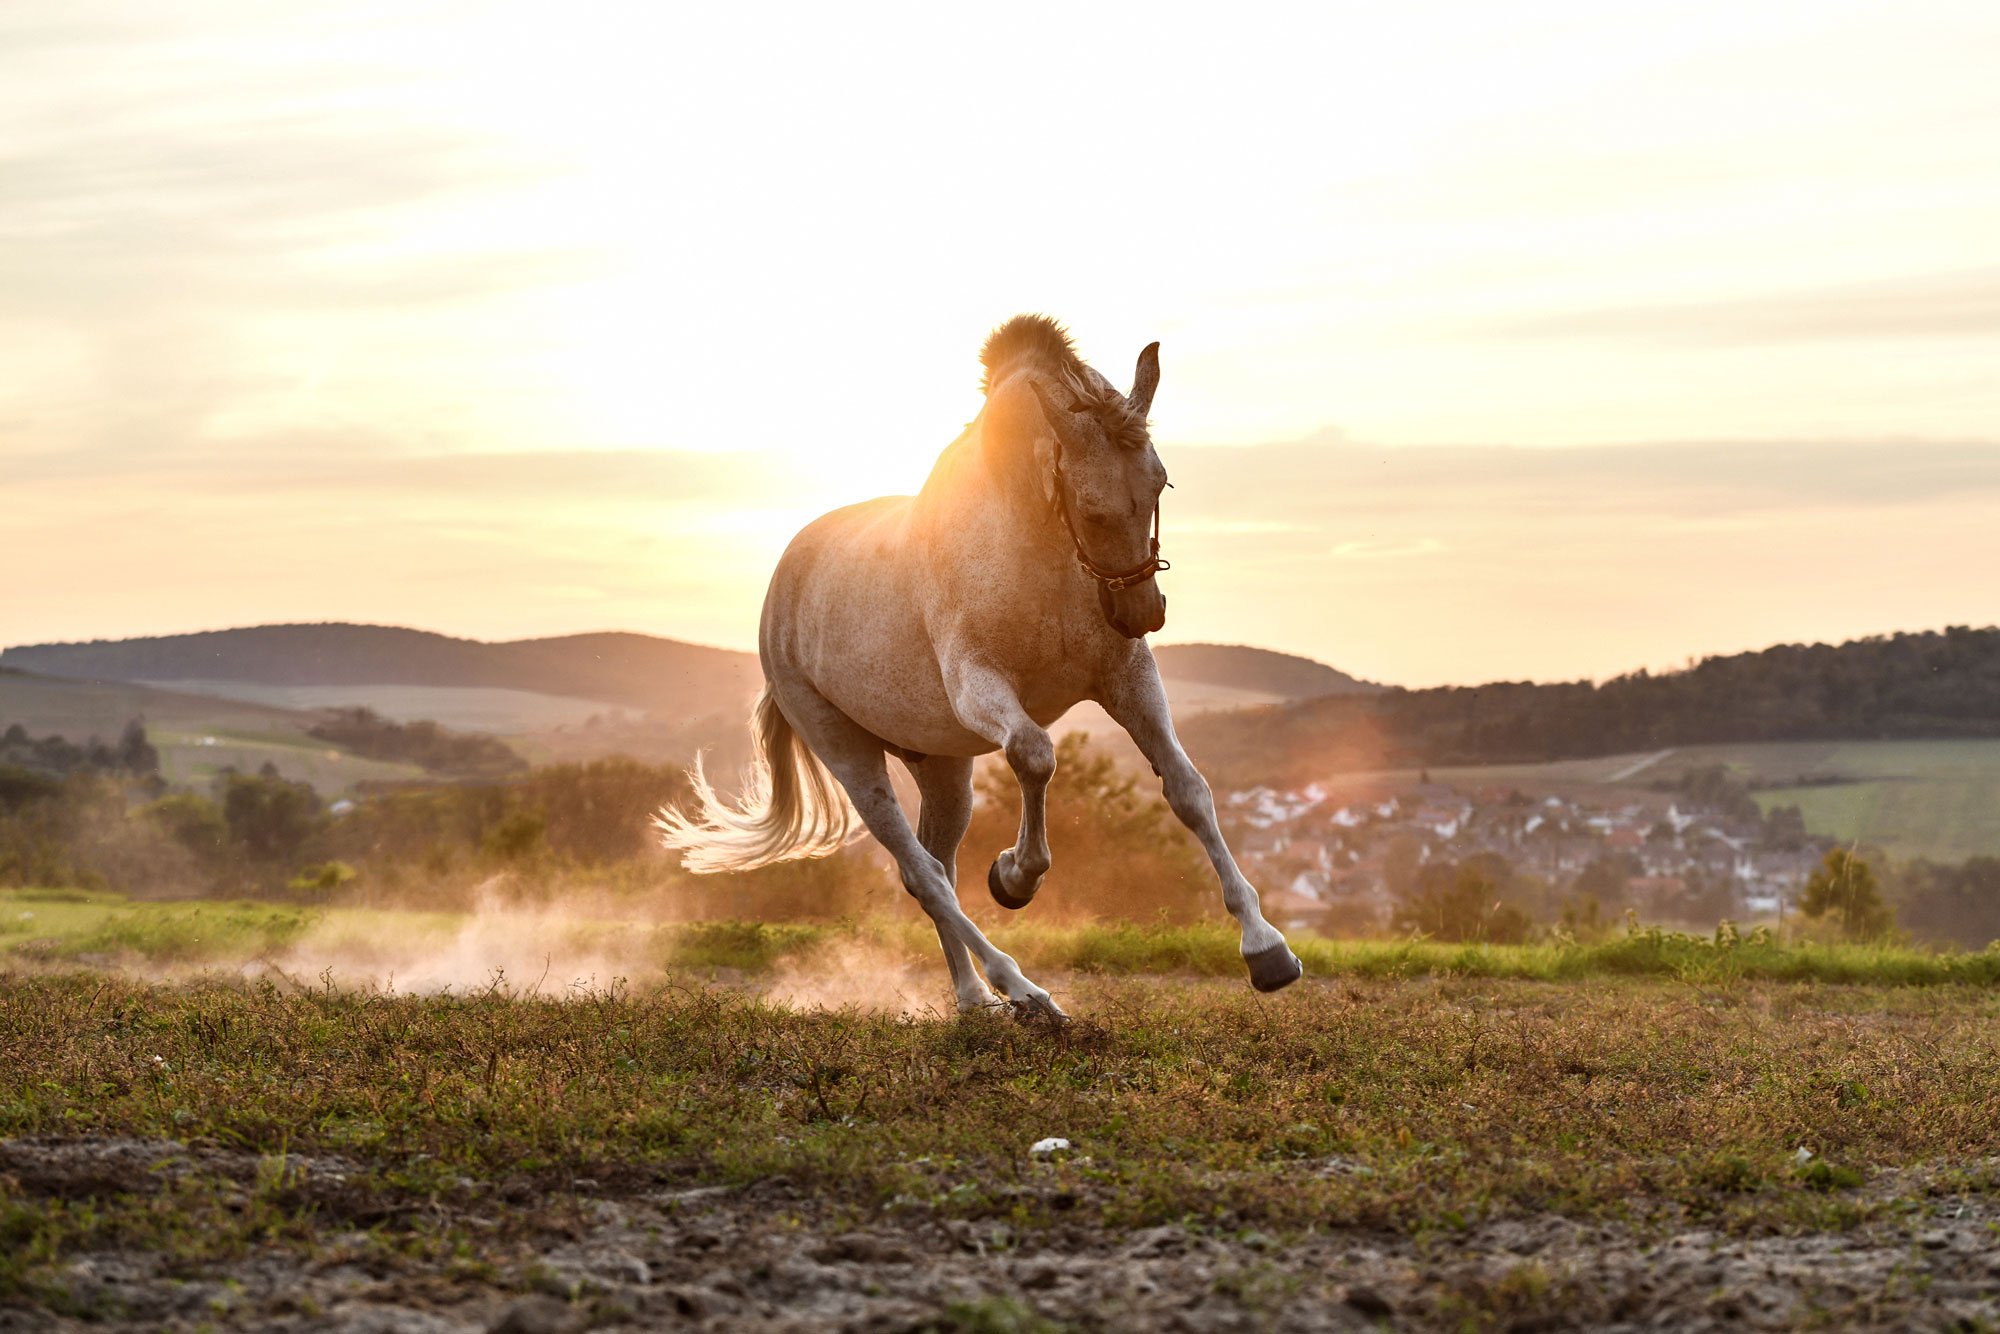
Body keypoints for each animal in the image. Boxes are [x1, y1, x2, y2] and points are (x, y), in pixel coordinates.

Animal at [657, 315, 1303, 1019]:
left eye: (1160, 484)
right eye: (1093, 508)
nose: (1142, 613)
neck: (1035, 550)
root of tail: (782, 592)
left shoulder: (1127, 682)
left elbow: (1188, 790)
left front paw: (1267, 951)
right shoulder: (980, 688)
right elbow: (1035, 756)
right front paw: (1015, 877)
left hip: (943, 766)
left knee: (933, 868)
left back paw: (974, 1000)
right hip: (849, 752)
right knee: (923, 873)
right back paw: (1024, 992)